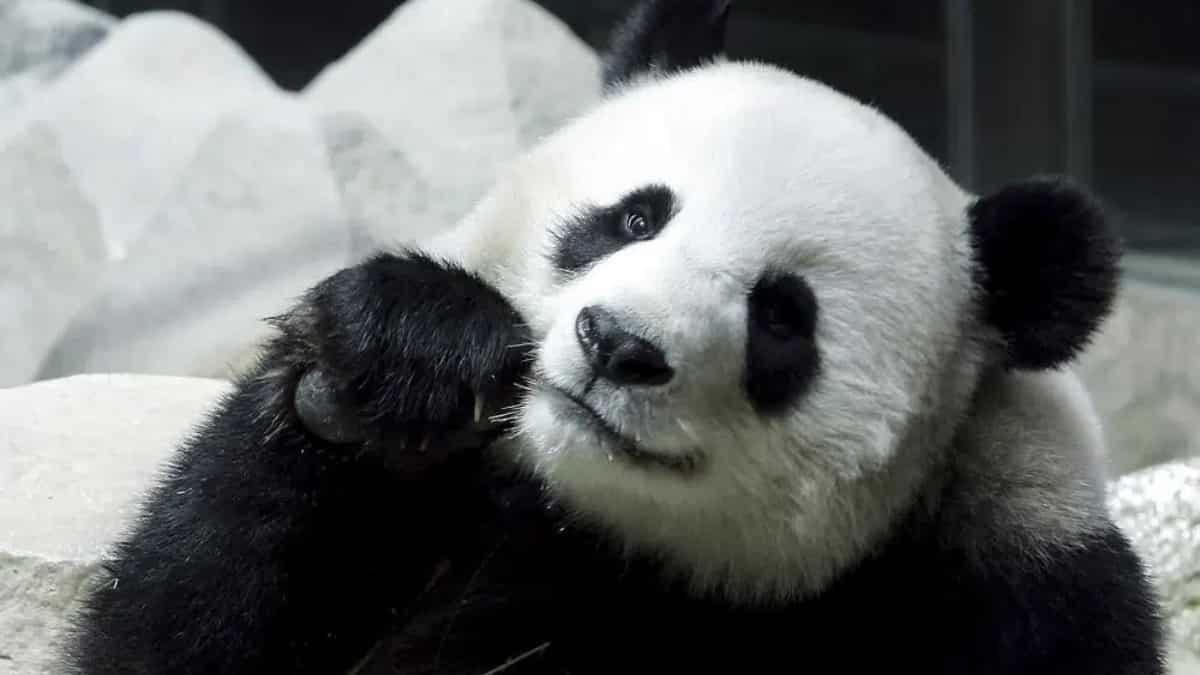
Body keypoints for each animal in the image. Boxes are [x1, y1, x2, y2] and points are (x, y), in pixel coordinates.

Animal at [64, 1, 1165, 673]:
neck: (608, 541)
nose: (616, 343)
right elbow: (166, 636)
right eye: (634, 217)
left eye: (782, 317)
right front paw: (401, 357)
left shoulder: (1022, 584)